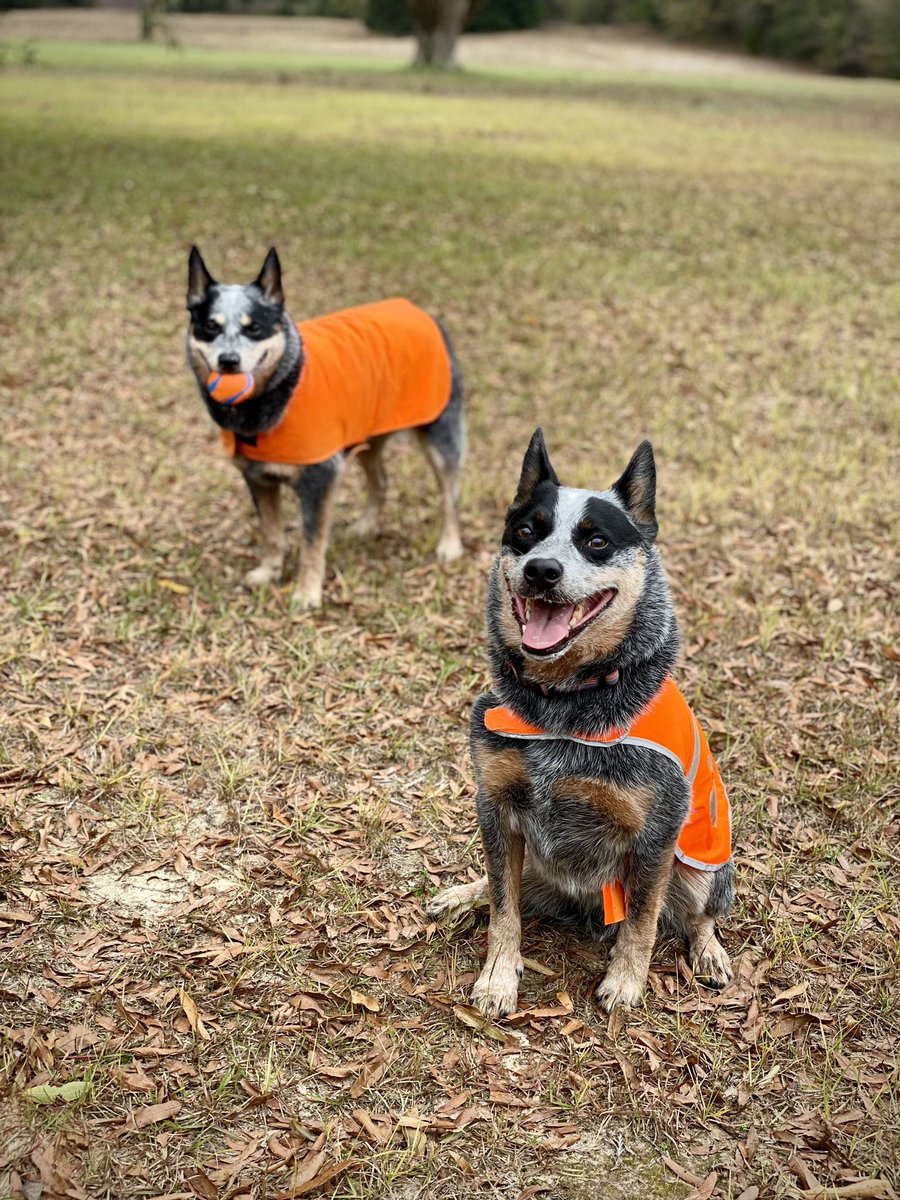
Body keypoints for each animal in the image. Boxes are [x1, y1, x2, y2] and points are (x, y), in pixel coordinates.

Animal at [183, 246, 465, 609]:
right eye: (210, 326)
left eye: (254, 328)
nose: (229, 361)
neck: (282, 387)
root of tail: (423, 313)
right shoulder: (258, 479)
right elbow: (272, 534)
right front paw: (269, 571)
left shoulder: (319, 480)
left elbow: (311, 543)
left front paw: (307, 592)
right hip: (367, 437)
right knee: (381, 480)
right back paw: (365, 526)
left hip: (440, 436)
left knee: (450, 493)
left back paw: (450, 545)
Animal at [427, 432, 734, 1012]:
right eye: (526, 532)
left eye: (596, 541)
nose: (541, 570)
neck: (562, 702)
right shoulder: (496, 806)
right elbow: (503, 907)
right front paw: (498, 977)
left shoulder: (657, 832)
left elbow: (641, 919)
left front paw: (626, 982)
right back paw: (461, 893)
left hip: (705, 862)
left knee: (699, 913)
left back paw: (709, 953)